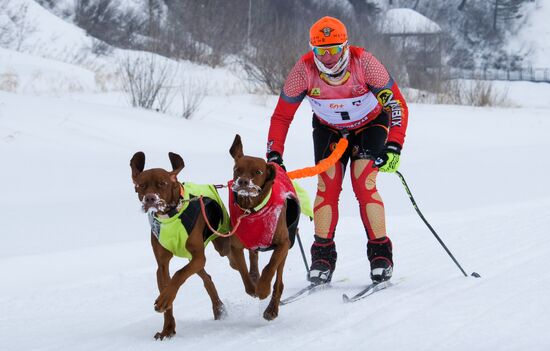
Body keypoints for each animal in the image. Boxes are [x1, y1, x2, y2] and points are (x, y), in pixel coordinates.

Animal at [130, 152, 232, 340]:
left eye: (162, 183)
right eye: (141, 186)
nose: (150, 198)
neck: (170, 215)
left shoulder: (198, 256)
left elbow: (178, 275)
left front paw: (163, 300)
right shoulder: (162, 265)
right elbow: (168, 282)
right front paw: (168, 329)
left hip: (221, 245)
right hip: (193, 259)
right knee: (207, 278)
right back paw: (218, 308)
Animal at [227, 135, 302, 322]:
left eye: (258, 172)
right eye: (237, 169)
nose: (243, 181)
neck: (252, 210)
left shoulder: (283, 244)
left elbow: (270, 267)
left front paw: (262, 289)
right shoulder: (236, 246)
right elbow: (243, 271)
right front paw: (253, 287)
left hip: (286, 248)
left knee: (279, 281)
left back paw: (272, 309)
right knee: (253, 261)